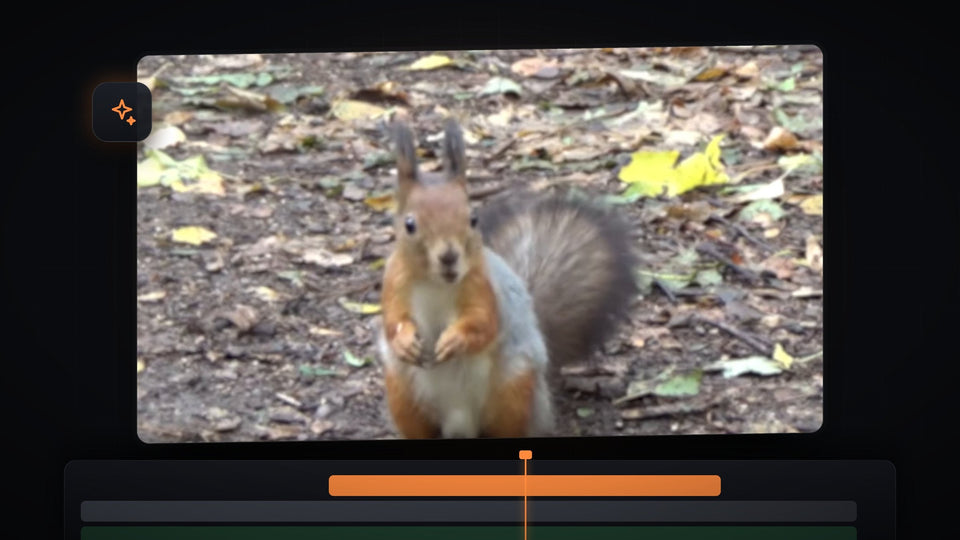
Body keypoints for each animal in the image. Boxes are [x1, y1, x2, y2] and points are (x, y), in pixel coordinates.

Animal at [377, 118, 638, 438]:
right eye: (409, 224)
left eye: (473, 218)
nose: (449, 256)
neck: (436, 283)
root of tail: (460, 426)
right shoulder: (394, 284)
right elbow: (392, 321)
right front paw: (404, 341)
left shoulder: (483, 287)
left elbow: (482, 324)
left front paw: (453, 340)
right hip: (402, 393)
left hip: (514, 388)